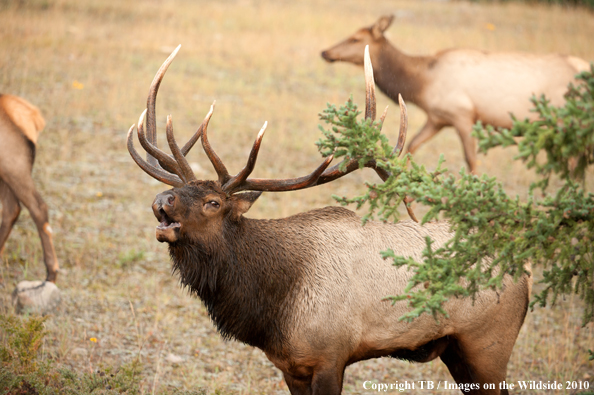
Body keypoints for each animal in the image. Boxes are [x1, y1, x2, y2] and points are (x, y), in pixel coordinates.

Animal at [127, 45, 528, 392]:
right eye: (177, 190)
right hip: (457, 351)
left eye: (212, 202)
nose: (161, 200)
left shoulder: (330, 356)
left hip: (487, 345)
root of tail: (525, 274)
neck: (272, 309)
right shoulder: (290, 366)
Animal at [322, 15, 588, 173]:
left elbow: (471, 160)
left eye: (355, 38)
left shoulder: (463, 115)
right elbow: (411, 146)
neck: (421, 84)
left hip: (564, 122)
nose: (325, 52)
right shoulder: (437, 119)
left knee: (574, 163)